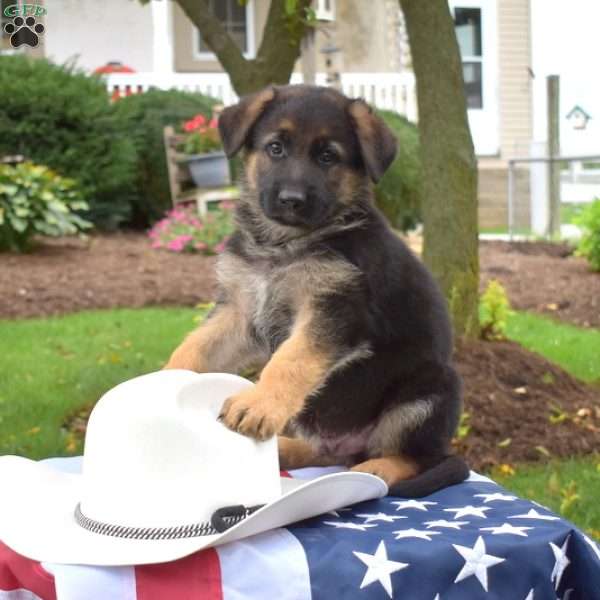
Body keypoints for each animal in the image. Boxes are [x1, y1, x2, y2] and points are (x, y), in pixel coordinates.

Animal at [165, 85, 468, 496]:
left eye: (328, 156)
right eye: (276, 148)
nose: (291, 199)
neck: (283, 245)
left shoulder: (333, 310)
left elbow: (290, 360)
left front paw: (258, 403)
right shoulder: (240, 311)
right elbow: (197, 345)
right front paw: (162, 379)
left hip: (430, 392)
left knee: (412, 456)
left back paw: (378, 469)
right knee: (328, 453)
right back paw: (288, 449)